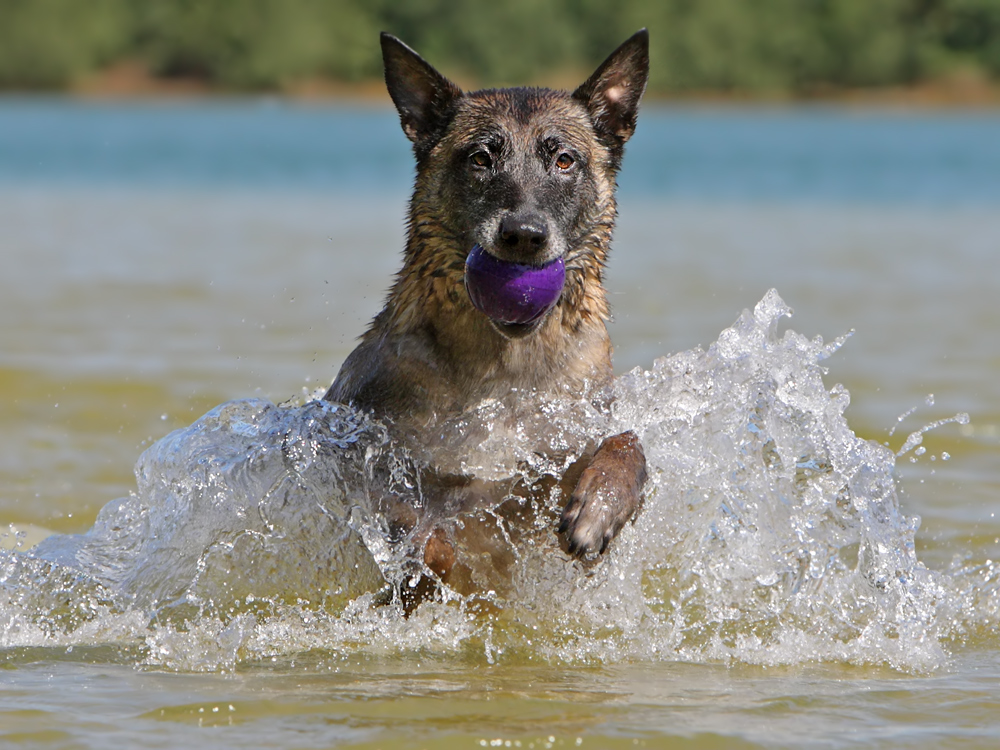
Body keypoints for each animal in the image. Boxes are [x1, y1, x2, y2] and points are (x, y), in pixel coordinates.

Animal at [326, 30, 648, 612]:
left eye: (563, 160)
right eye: (480, 158)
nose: (523, 234)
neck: (503, 370)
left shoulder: (550, 459)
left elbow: (627, 443)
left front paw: (599, 508)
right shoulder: (373, 464)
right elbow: (425, 537)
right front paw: (425, 574)